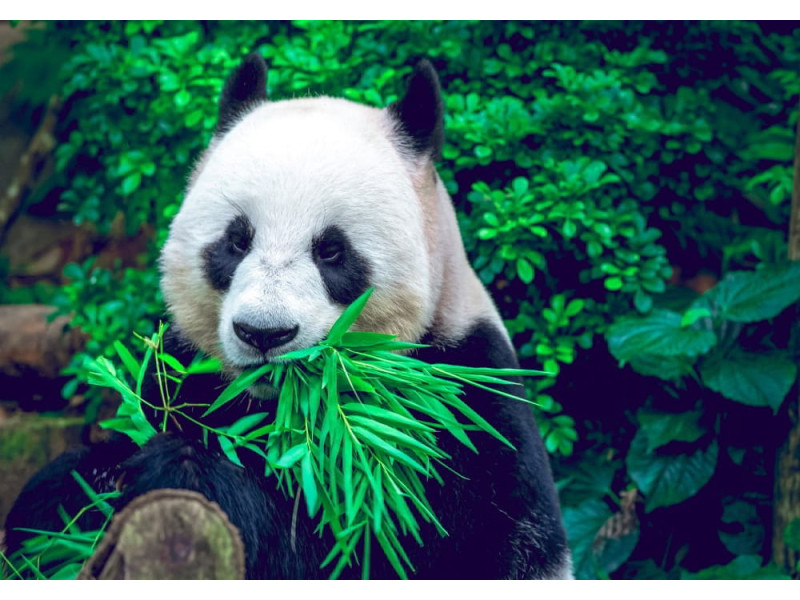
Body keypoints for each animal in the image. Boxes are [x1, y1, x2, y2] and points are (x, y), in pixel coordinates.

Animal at [4, 54, 572, 580]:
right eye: (237, 240)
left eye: (332, 251)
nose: (263, 333)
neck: (281, 405)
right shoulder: (182, 370)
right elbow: (70, 484)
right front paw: (77, 499)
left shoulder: (455, 414)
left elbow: (367, 548)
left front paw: (185, 471)